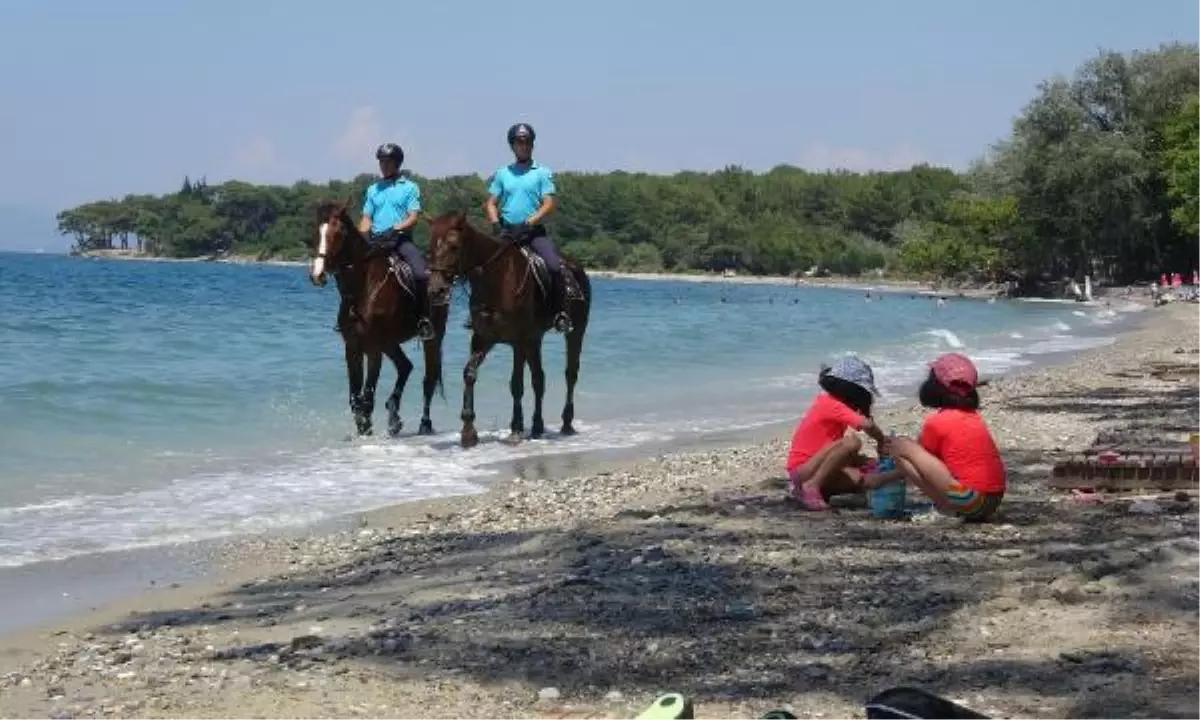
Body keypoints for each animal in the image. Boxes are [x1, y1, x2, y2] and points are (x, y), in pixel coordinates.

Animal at [309, 202, 446, 439]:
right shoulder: (352, 348)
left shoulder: (373, 348)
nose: (317, 275)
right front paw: (363, 427)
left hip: (432, 339)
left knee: (428, 380)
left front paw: (366, 428)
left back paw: (424, 424)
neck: (363, 287)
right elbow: (355, 397)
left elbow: (367, 394)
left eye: (339, 232)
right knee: (405, 367)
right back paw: (394, 417)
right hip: (390, 343)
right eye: (317, 231)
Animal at [427, 211, 590, 446]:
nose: (436, 290)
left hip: (575, 331)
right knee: (539, 379)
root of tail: (577, 267)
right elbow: (469, 374)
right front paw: (468, 432)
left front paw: (516, 429)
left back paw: (566, 423)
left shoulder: (518, 341)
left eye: (454, 246)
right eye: (430, 247)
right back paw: (537, 427)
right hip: (534, 339)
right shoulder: (482, 338)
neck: (497, 279)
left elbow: (516, 383)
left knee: (570, 374)